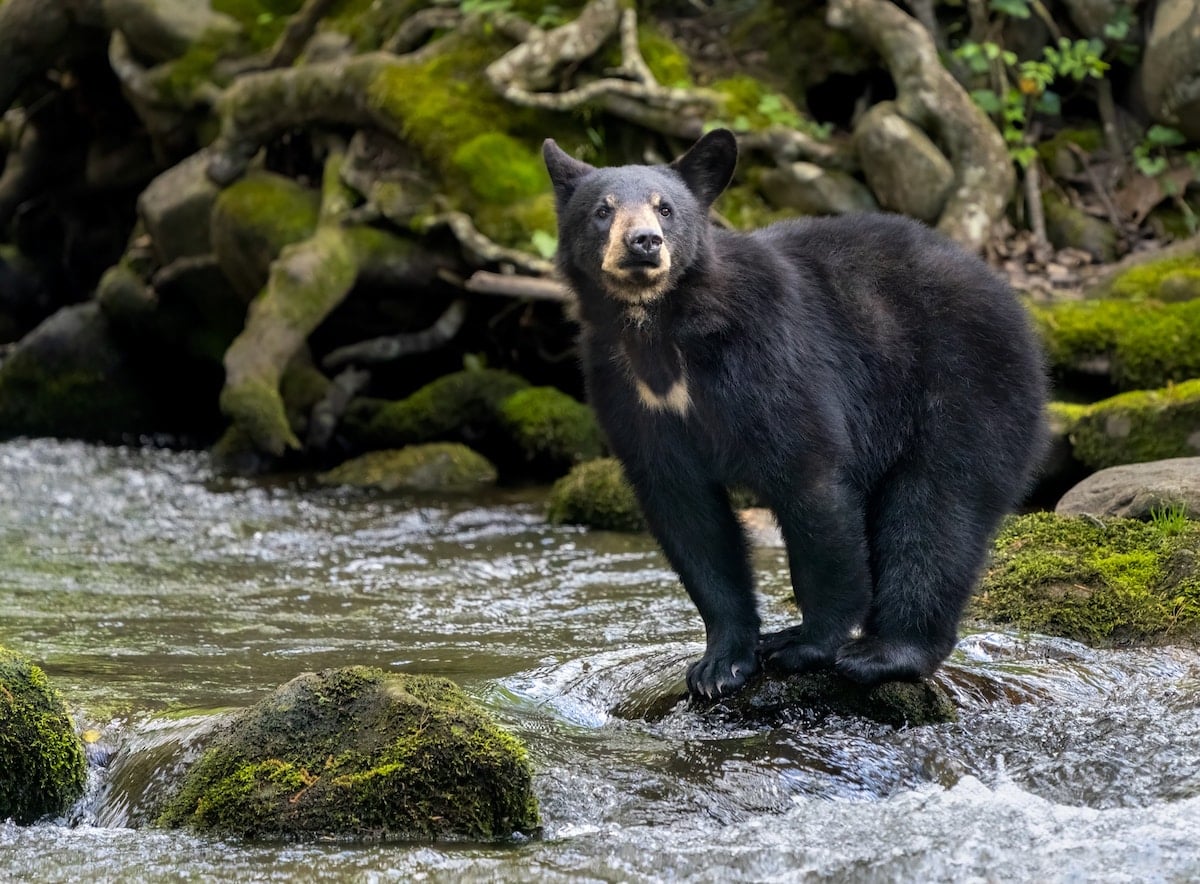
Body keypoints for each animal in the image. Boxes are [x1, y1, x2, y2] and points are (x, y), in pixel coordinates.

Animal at [542, 129, 1048, 699]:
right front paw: (719, 663)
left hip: (965, 386)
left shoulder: (768, 356)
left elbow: (810, 480)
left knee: (938, 509)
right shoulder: (627, 392)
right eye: (602, 210)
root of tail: (1014, 304)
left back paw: (885, 653)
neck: (661, 329)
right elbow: (687, 514)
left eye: (665, 208)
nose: (644, 242)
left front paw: (806, 644)